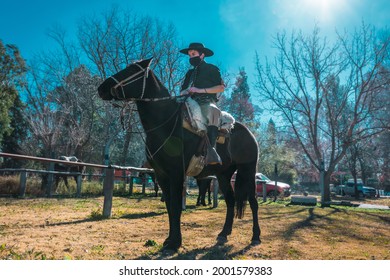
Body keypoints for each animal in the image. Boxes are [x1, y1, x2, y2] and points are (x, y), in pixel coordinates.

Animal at [99, 58, 260, 250]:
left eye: (131, 70)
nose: (101, 87)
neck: (166, 123)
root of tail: (249, 133)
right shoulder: (161, 175)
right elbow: (169, 206)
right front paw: (170, 239)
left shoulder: (176, 173)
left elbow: (176, 206)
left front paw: (175, 242)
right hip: (223, 174)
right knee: (230, 200)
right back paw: (223, 234)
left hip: (248, 171)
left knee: (253, 202)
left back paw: (255, 236)